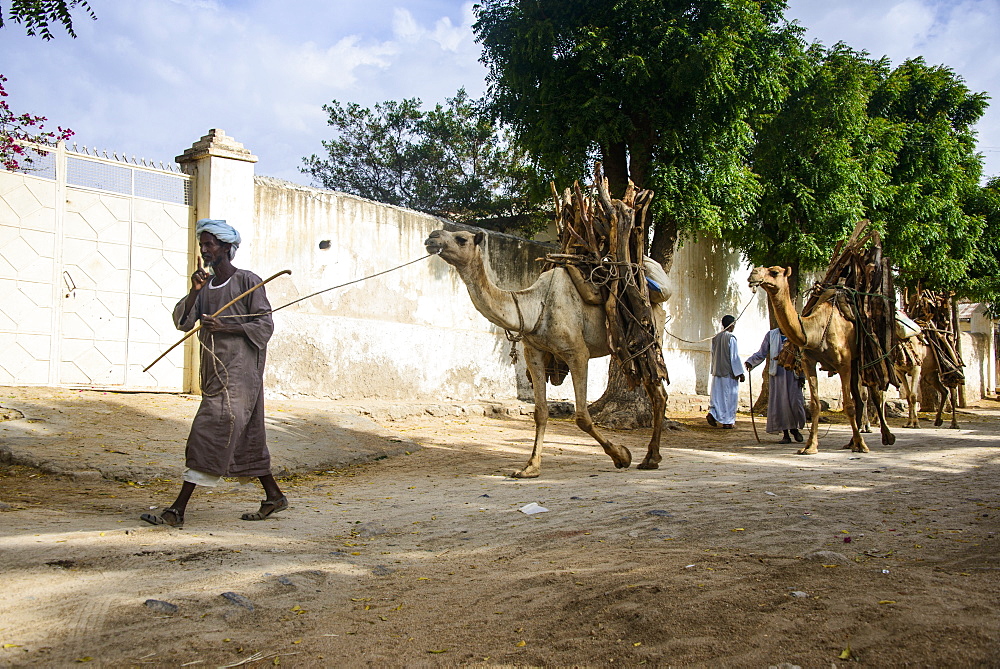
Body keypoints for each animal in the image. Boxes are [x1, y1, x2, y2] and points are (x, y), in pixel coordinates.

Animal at [426, 228, 668, 474]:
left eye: (461, 239)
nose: (432, 237)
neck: (535, 307)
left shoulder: (577, 352)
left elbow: (582, 416)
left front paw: (622, 455)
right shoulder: (533, 352)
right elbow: (541, 412)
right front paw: (530, 467)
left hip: (645, 337)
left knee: (658, 392)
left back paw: (651, 459)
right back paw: (651, 457)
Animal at [748, 266, 896, 454]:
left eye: (774, 272)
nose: (753, 273)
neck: (816, 330)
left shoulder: (843, 363)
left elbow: (848, 405)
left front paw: (863, 445)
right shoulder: (808, 362)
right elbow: (815, 404)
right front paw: (810, 446)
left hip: (865, 355)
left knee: (874, 391)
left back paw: (886, 437)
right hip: (855, 362)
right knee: (859, 396)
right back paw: (851, 442)